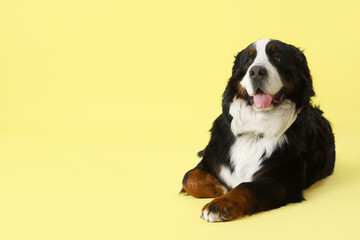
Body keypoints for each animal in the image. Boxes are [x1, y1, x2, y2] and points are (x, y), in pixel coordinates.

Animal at [181, 38, 336, 222]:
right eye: (248, 61)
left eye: (277, 58)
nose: (256, 71)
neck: (255, 128)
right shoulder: (211, 160)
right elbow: (188, 177)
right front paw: (218, 187)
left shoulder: (281, 180)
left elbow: (245, 188)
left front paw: (218, 205)